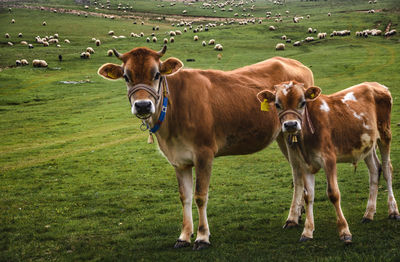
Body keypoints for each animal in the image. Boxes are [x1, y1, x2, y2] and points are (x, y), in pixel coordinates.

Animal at [98, 45, 314, 250]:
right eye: (126, 76)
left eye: (157, 74)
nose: (143, 105)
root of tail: (296, 64)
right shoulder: (178, 161)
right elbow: (184, 196)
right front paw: (184, 236)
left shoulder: (204, 153)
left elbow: (200, 196)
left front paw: (202, 237)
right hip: (283, 135)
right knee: (296, 171)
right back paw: (297, 213)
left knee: (298, 173)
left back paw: (292, 218)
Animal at [258, 81, 398, 243]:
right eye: (277, 104)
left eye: (303, 102)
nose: (291, 124)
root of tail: (376, 84)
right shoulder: (304, 164)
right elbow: (308, 196)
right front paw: (307, 231)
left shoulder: (329, 158)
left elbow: (333, 193)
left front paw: (344, 231)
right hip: (367, 143)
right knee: (375, 170)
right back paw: (368, 213)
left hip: (385, 133)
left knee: (387, 169)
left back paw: (393, 210)